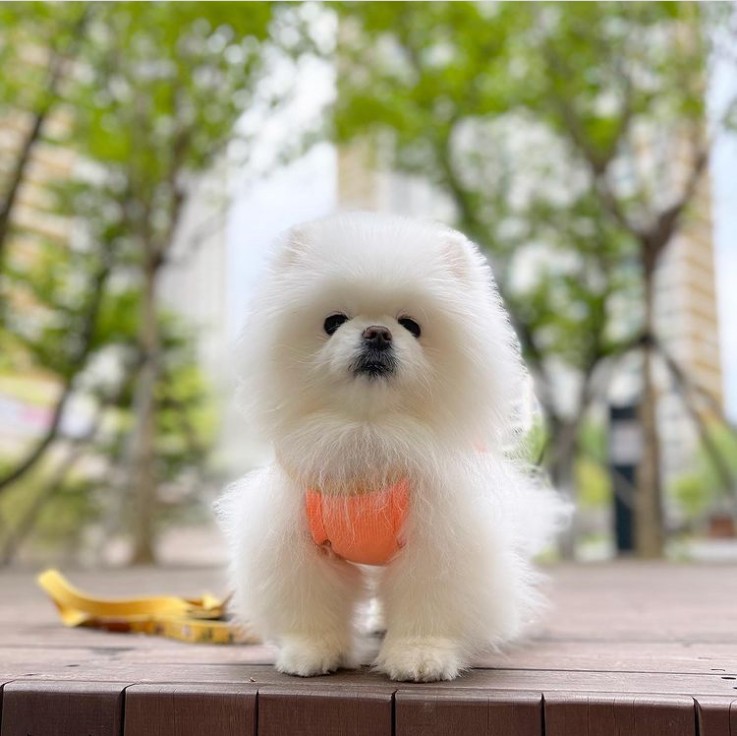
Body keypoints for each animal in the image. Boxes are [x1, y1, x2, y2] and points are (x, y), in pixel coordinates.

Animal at [216, 213, 568, 684]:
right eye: (333, 321)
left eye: (412, 325)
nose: (378, 332)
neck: (367, 431)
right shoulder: (295, 540)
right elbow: (311, 605)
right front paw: (311, 651)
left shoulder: (439, 538)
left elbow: (429, 605)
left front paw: (420, 656)